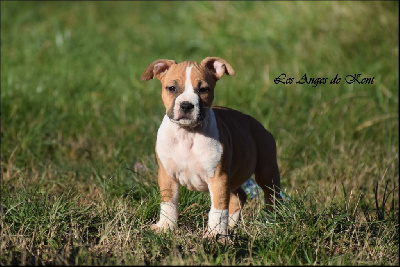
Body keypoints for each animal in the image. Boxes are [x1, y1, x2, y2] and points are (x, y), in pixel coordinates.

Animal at [141, 57, 282, 242]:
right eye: (171, 88)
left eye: (203, 89)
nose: (186, 105)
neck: (187, 134)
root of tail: (259, 125)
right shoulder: (167, 175)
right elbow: (168, 202)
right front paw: (166, 227)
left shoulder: (219, 177)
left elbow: (218, 208)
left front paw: (215, 234)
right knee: (239, 196)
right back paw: (231, 226)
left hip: (266, 171)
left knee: (272, 196)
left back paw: (272, 222)